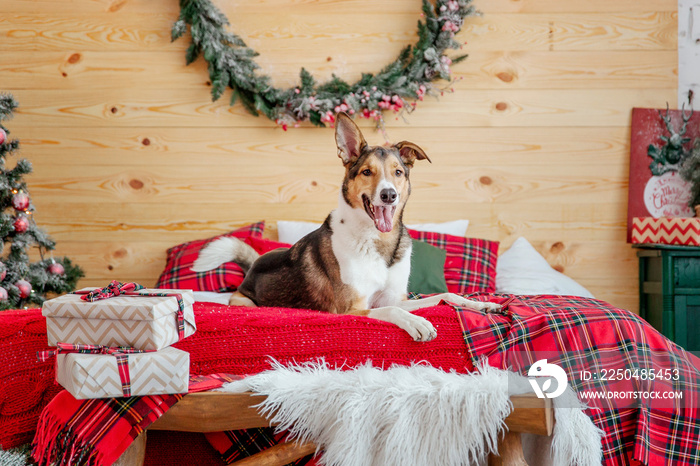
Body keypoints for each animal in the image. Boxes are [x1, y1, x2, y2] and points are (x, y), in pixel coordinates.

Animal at [191, 111, 498, 340]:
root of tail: (252, 266)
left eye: (398, 172)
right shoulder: (352, 309)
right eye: (366, 172)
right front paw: (418, 322)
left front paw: (481, 303)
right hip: (243, 302)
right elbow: (395, 313)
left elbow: (445, 295)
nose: (389, 195)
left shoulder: (393, 297)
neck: (379, 243)